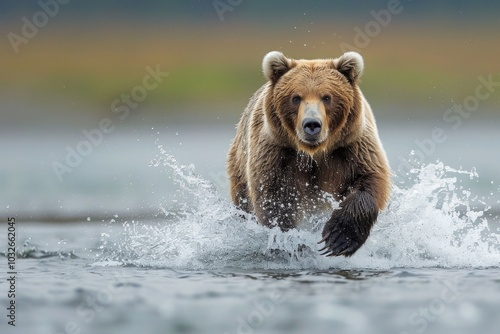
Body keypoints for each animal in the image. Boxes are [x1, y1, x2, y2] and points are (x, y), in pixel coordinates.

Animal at [227, 51, 390, 258]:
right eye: (296, 98)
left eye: (327, 97)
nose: (312, 124)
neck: (315, 153)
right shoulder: (275, 152)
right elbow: (275, 200)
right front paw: (290, 241)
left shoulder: (352, 146)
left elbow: (369, 179)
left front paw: (338, 238)